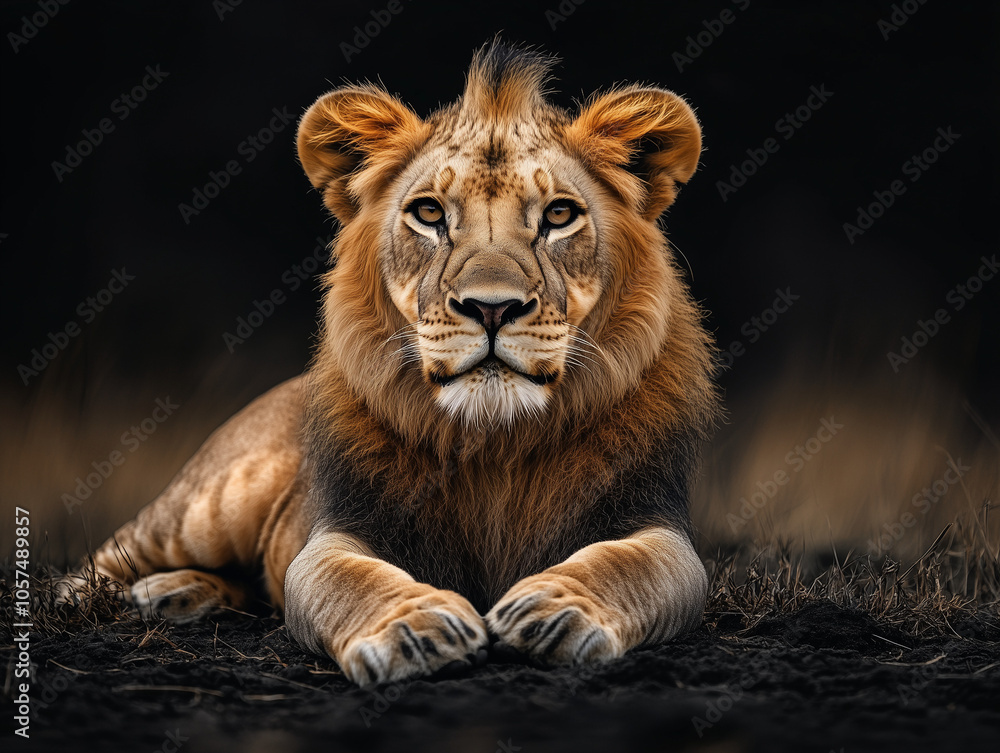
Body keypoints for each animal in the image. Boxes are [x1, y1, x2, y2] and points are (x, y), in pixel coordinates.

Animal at [65, 42, 718, 686]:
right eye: (428, 214)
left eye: (559, 216)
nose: (492, 307)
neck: (494, 444)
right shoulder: (335, 534)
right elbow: (349, 581)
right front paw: (416, 630)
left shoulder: (657, 523)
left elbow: (629, 566)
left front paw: (556, 610)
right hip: (210, 503)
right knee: (117, 549)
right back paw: (97, 596)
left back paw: (180, 594)